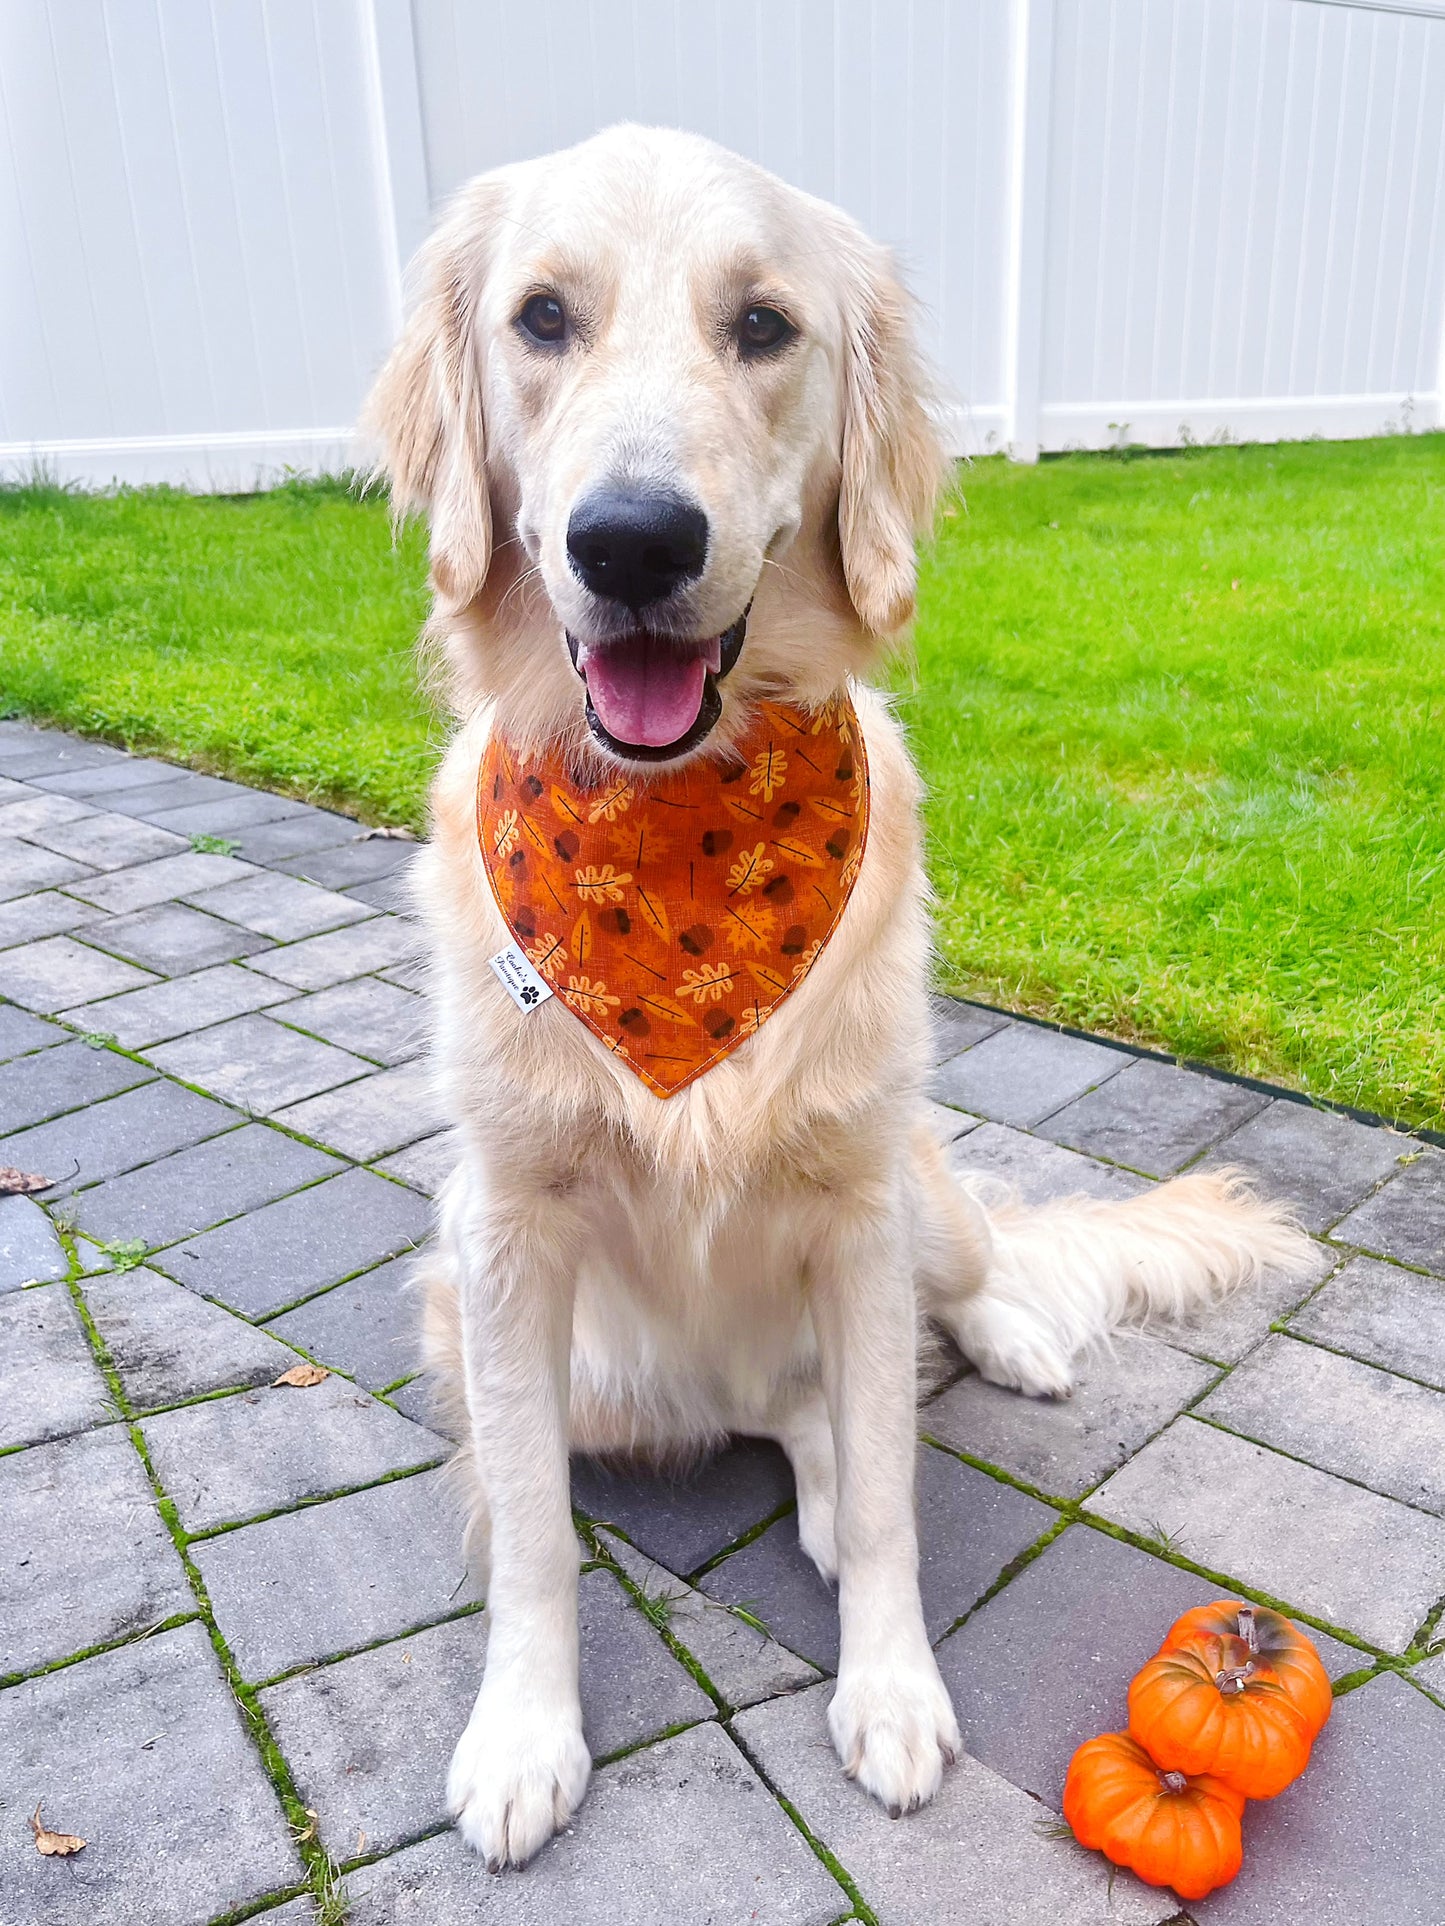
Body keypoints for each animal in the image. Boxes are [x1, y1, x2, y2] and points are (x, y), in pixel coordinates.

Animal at [364, 120, 1310, 1864]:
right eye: (541, 319)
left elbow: (887, 1498)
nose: (634, 542)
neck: (677, 846)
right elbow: (530, 1525)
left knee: (940, 1312)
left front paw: (891, 1694)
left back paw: (1011, 1341)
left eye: (763, 326)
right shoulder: (501, 1242)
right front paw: (523, 1731)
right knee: (800, 1412)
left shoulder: (860, 1209)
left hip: (915, 1191)